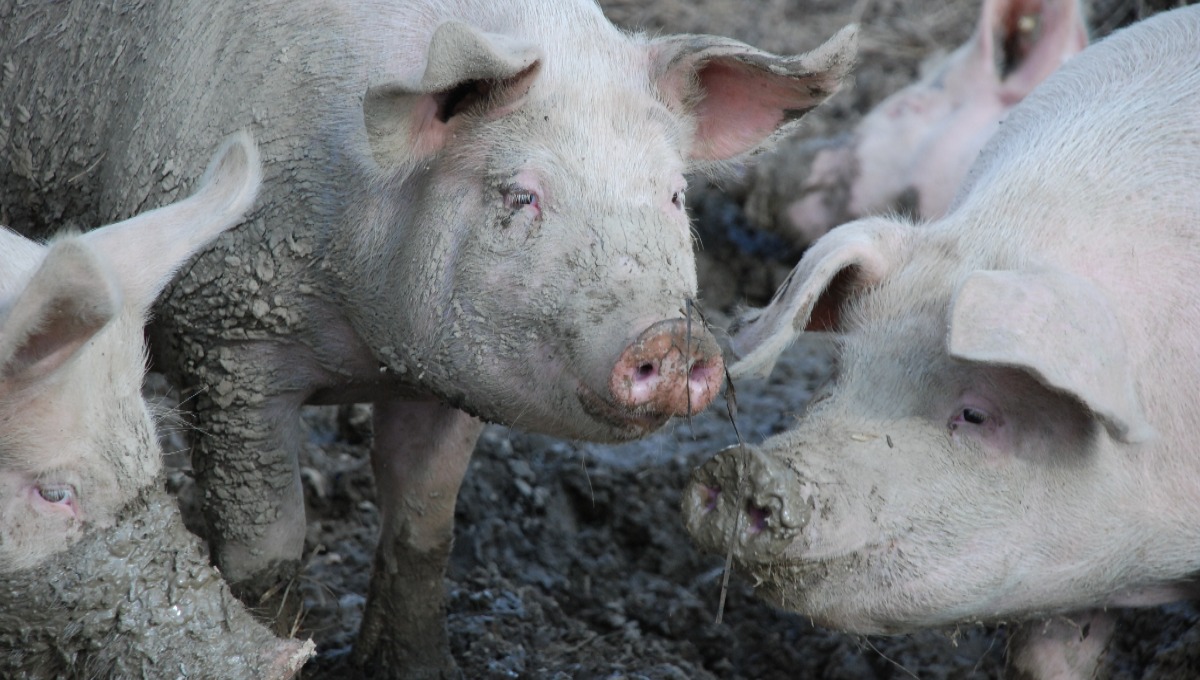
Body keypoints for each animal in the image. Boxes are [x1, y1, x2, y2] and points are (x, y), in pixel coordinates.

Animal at [0, 1, 864, 676]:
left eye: (674, 195)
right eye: (520, 196)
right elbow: (267, 544)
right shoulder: (227, 338)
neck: (361, 345)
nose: (675, 338)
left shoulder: (451, 378)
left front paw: (416, 668)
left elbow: (424, 525)